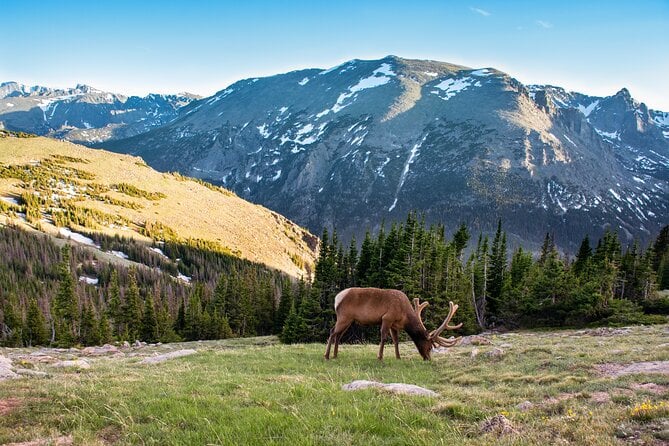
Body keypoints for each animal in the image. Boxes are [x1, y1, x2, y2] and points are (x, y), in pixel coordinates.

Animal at [322, 288, 460, 360]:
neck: (404, 316)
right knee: (332, 332)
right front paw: (380, 357)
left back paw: (335, 355)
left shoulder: (394, 325)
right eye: (430, 346)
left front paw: (398, 357)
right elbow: (383, 338)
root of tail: (337, 298)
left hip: (349, 320)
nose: (428, 358)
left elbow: (396, 340)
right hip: (344, 316)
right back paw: (327, 355)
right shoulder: (387, 318)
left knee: (338, 335)